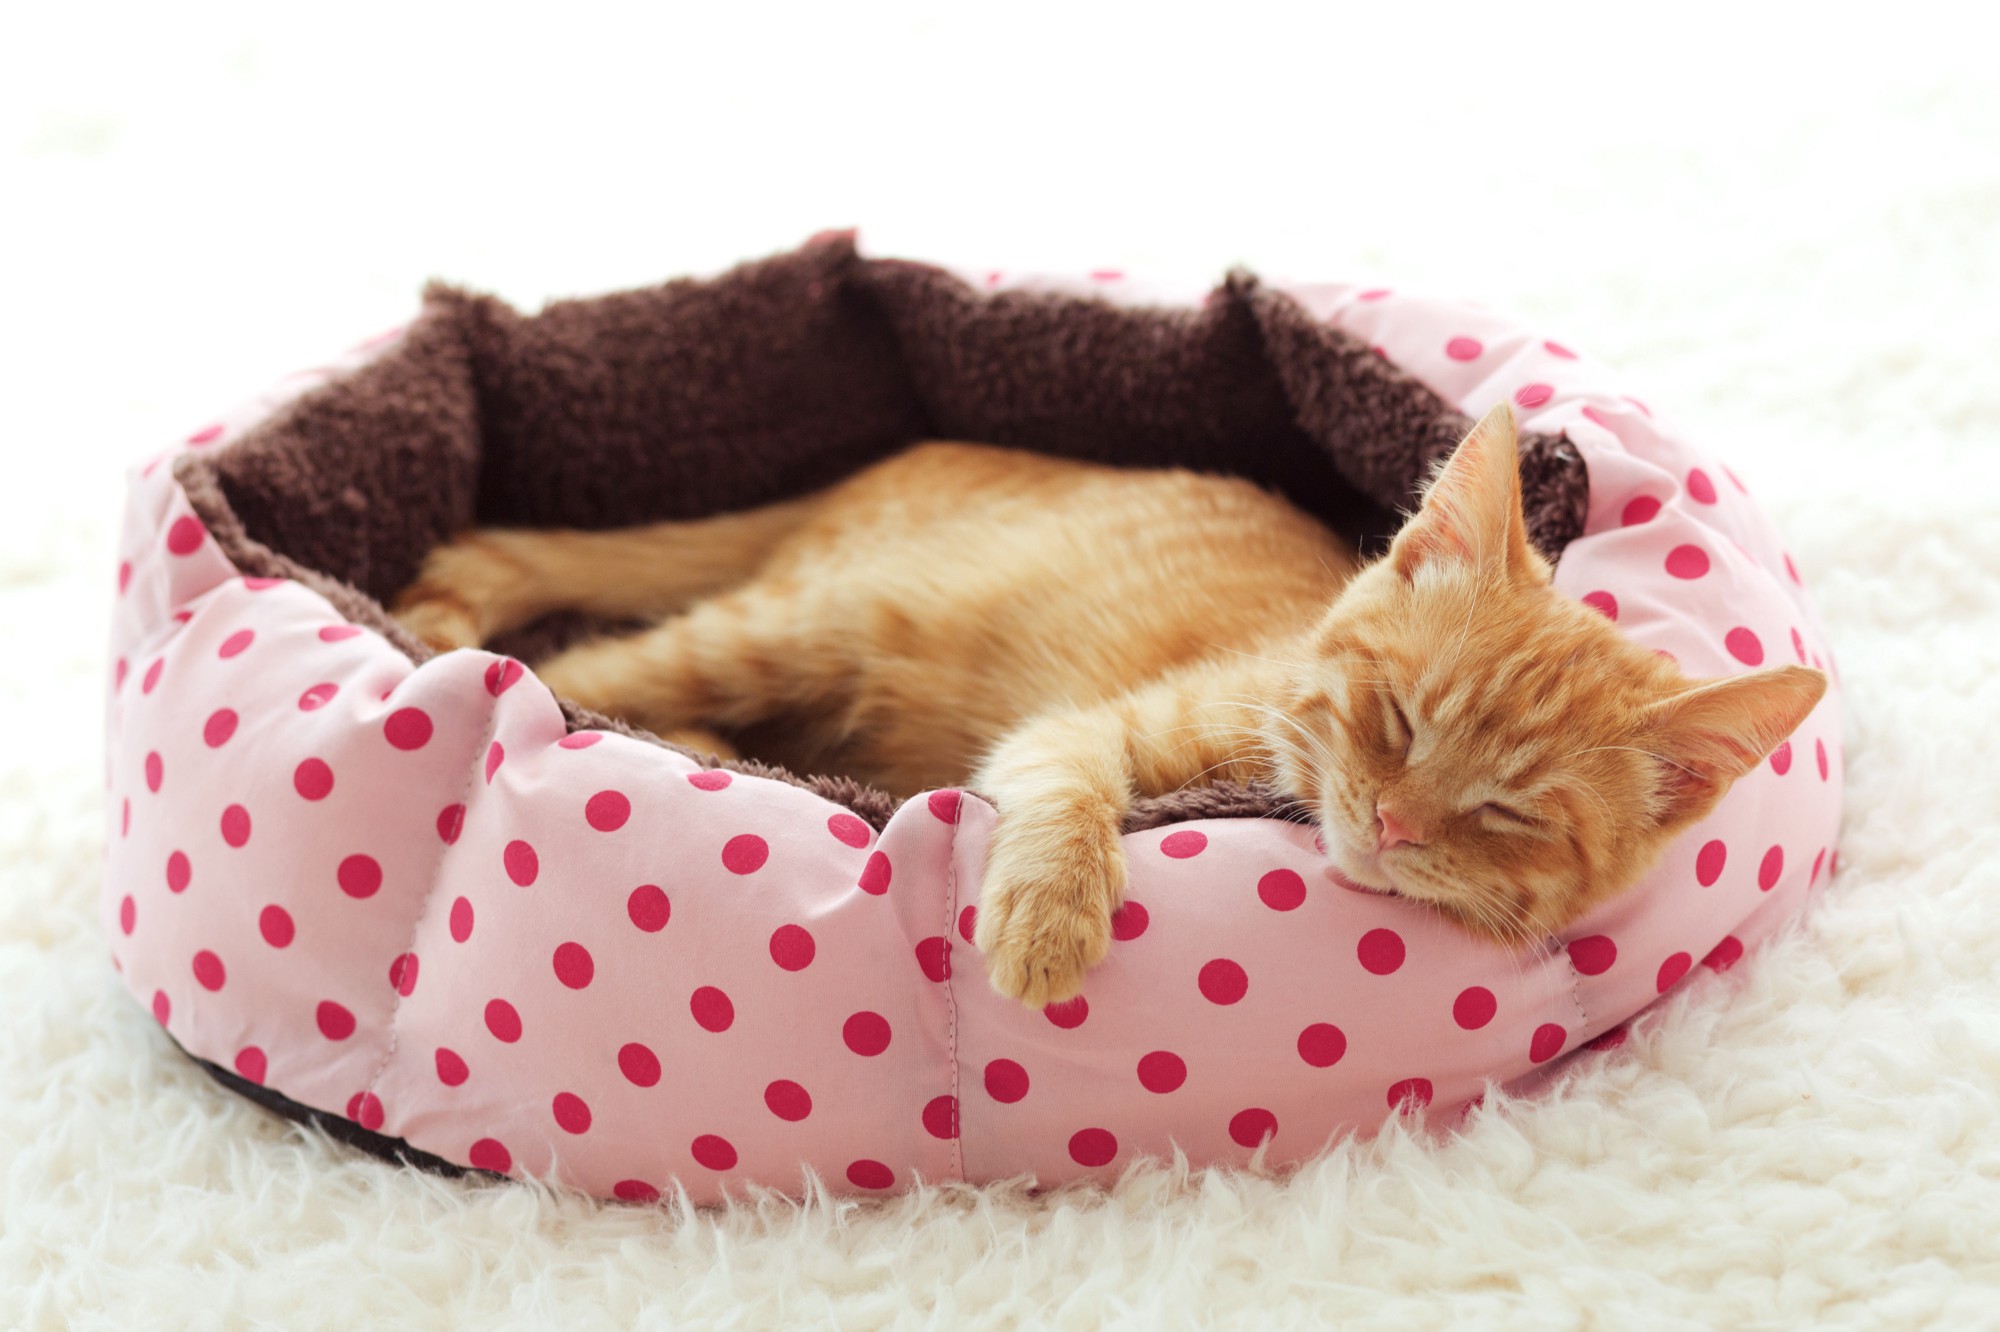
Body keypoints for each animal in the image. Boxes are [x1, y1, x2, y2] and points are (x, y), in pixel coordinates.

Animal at [394, 404, 1832, 1008]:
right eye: (1398, 720)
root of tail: (887, 460)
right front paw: (1046, 917)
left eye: (1508, 812)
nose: (1391, 824)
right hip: (801, 623)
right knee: (602, 670)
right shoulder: (1086, 732)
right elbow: (1067, 785)